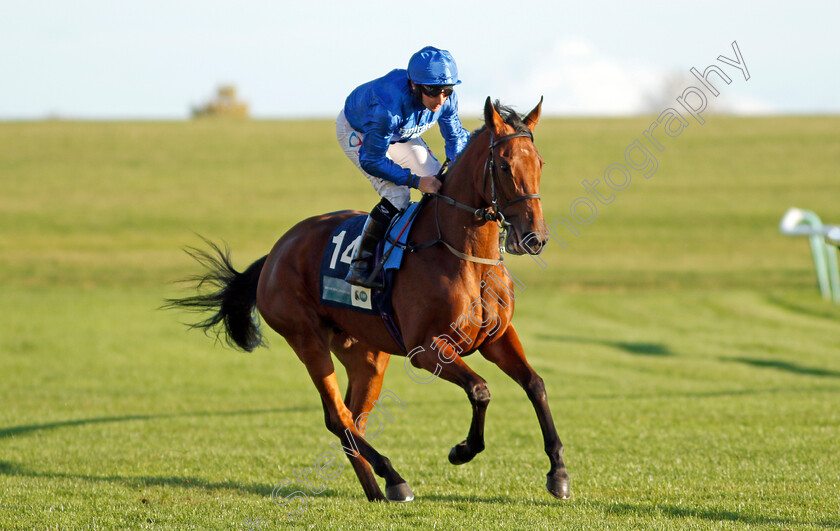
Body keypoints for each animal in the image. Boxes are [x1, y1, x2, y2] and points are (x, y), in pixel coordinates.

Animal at [165, 98, 572, 502]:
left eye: (539, 163)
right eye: (503, 165)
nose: (534, 237)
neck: (466, 257)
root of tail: (275, 253)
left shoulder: (497, 338)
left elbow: (535, 384)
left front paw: (559, 473)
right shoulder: (426, 350)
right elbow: (480, 390)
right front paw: (462, 450)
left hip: (366, 356)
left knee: (353, 419)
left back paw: (378, 488)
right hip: (307, 339)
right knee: (337, 416)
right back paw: (393, 477)